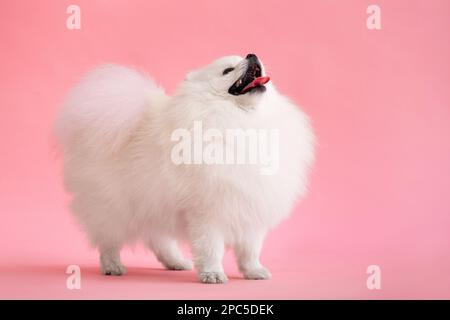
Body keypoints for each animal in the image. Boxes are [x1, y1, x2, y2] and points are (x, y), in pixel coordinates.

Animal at [56, 54, 314, 282]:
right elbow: (211, 247)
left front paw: (253, 271)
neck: (241, 120)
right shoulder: (207, 211)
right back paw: (113, 266)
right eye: (227, 70)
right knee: (109, 240)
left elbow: (250, 250)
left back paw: (176, 262)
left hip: (153, 203)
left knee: (158, 239)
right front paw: (212, 274)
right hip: (114, 206)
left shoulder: (250, 207)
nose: (252, 55)